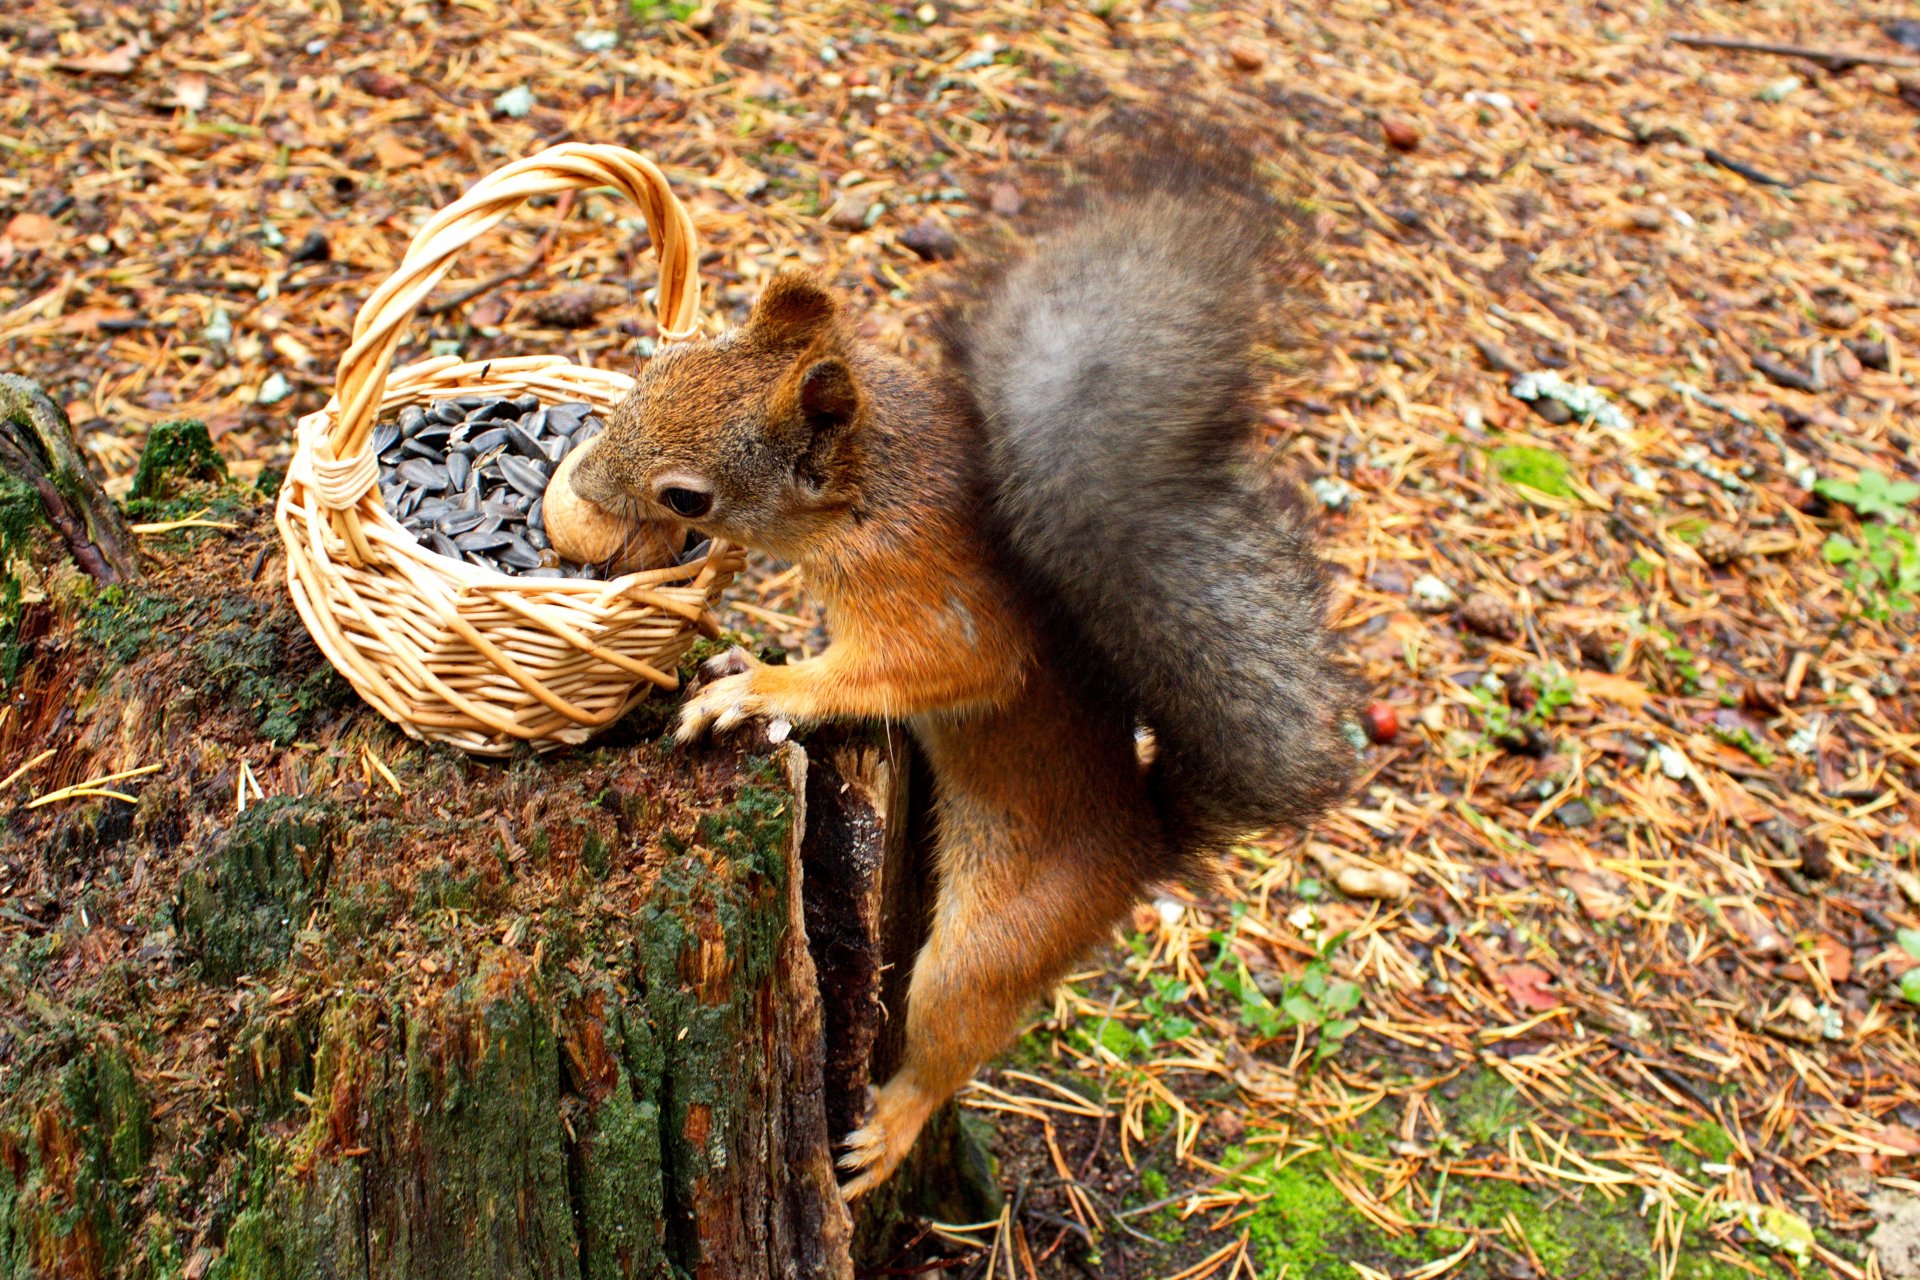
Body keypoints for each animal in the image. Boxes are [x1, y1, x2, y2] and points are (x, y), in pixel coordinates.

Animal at [576, 122, 1359, 1205]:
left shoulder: (935, 607)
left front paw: (754, 690)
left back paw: (889, 1125)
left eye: (687, 494)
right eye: (652, 376)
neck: (868, 492)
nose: (579, 484)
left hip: (994, 942)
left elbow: (921, 669)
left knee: (952, 1037)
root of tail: (1141, 845)